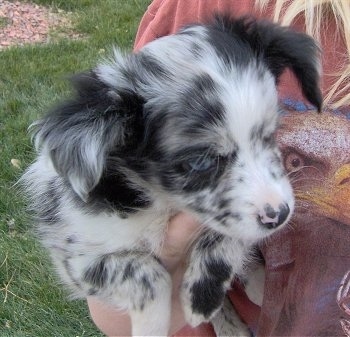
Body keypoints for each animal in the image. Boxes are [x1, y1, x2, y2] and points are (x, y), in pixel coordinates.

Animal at [23, 13, 322, 336]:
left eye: (270, 135)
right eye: (200, 162)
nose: (280, 215)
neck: (159, 202)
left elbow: (225, 236)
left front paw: (202, 295)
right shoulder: (78, 258)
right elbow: (145, 273)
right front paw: (151, 325)